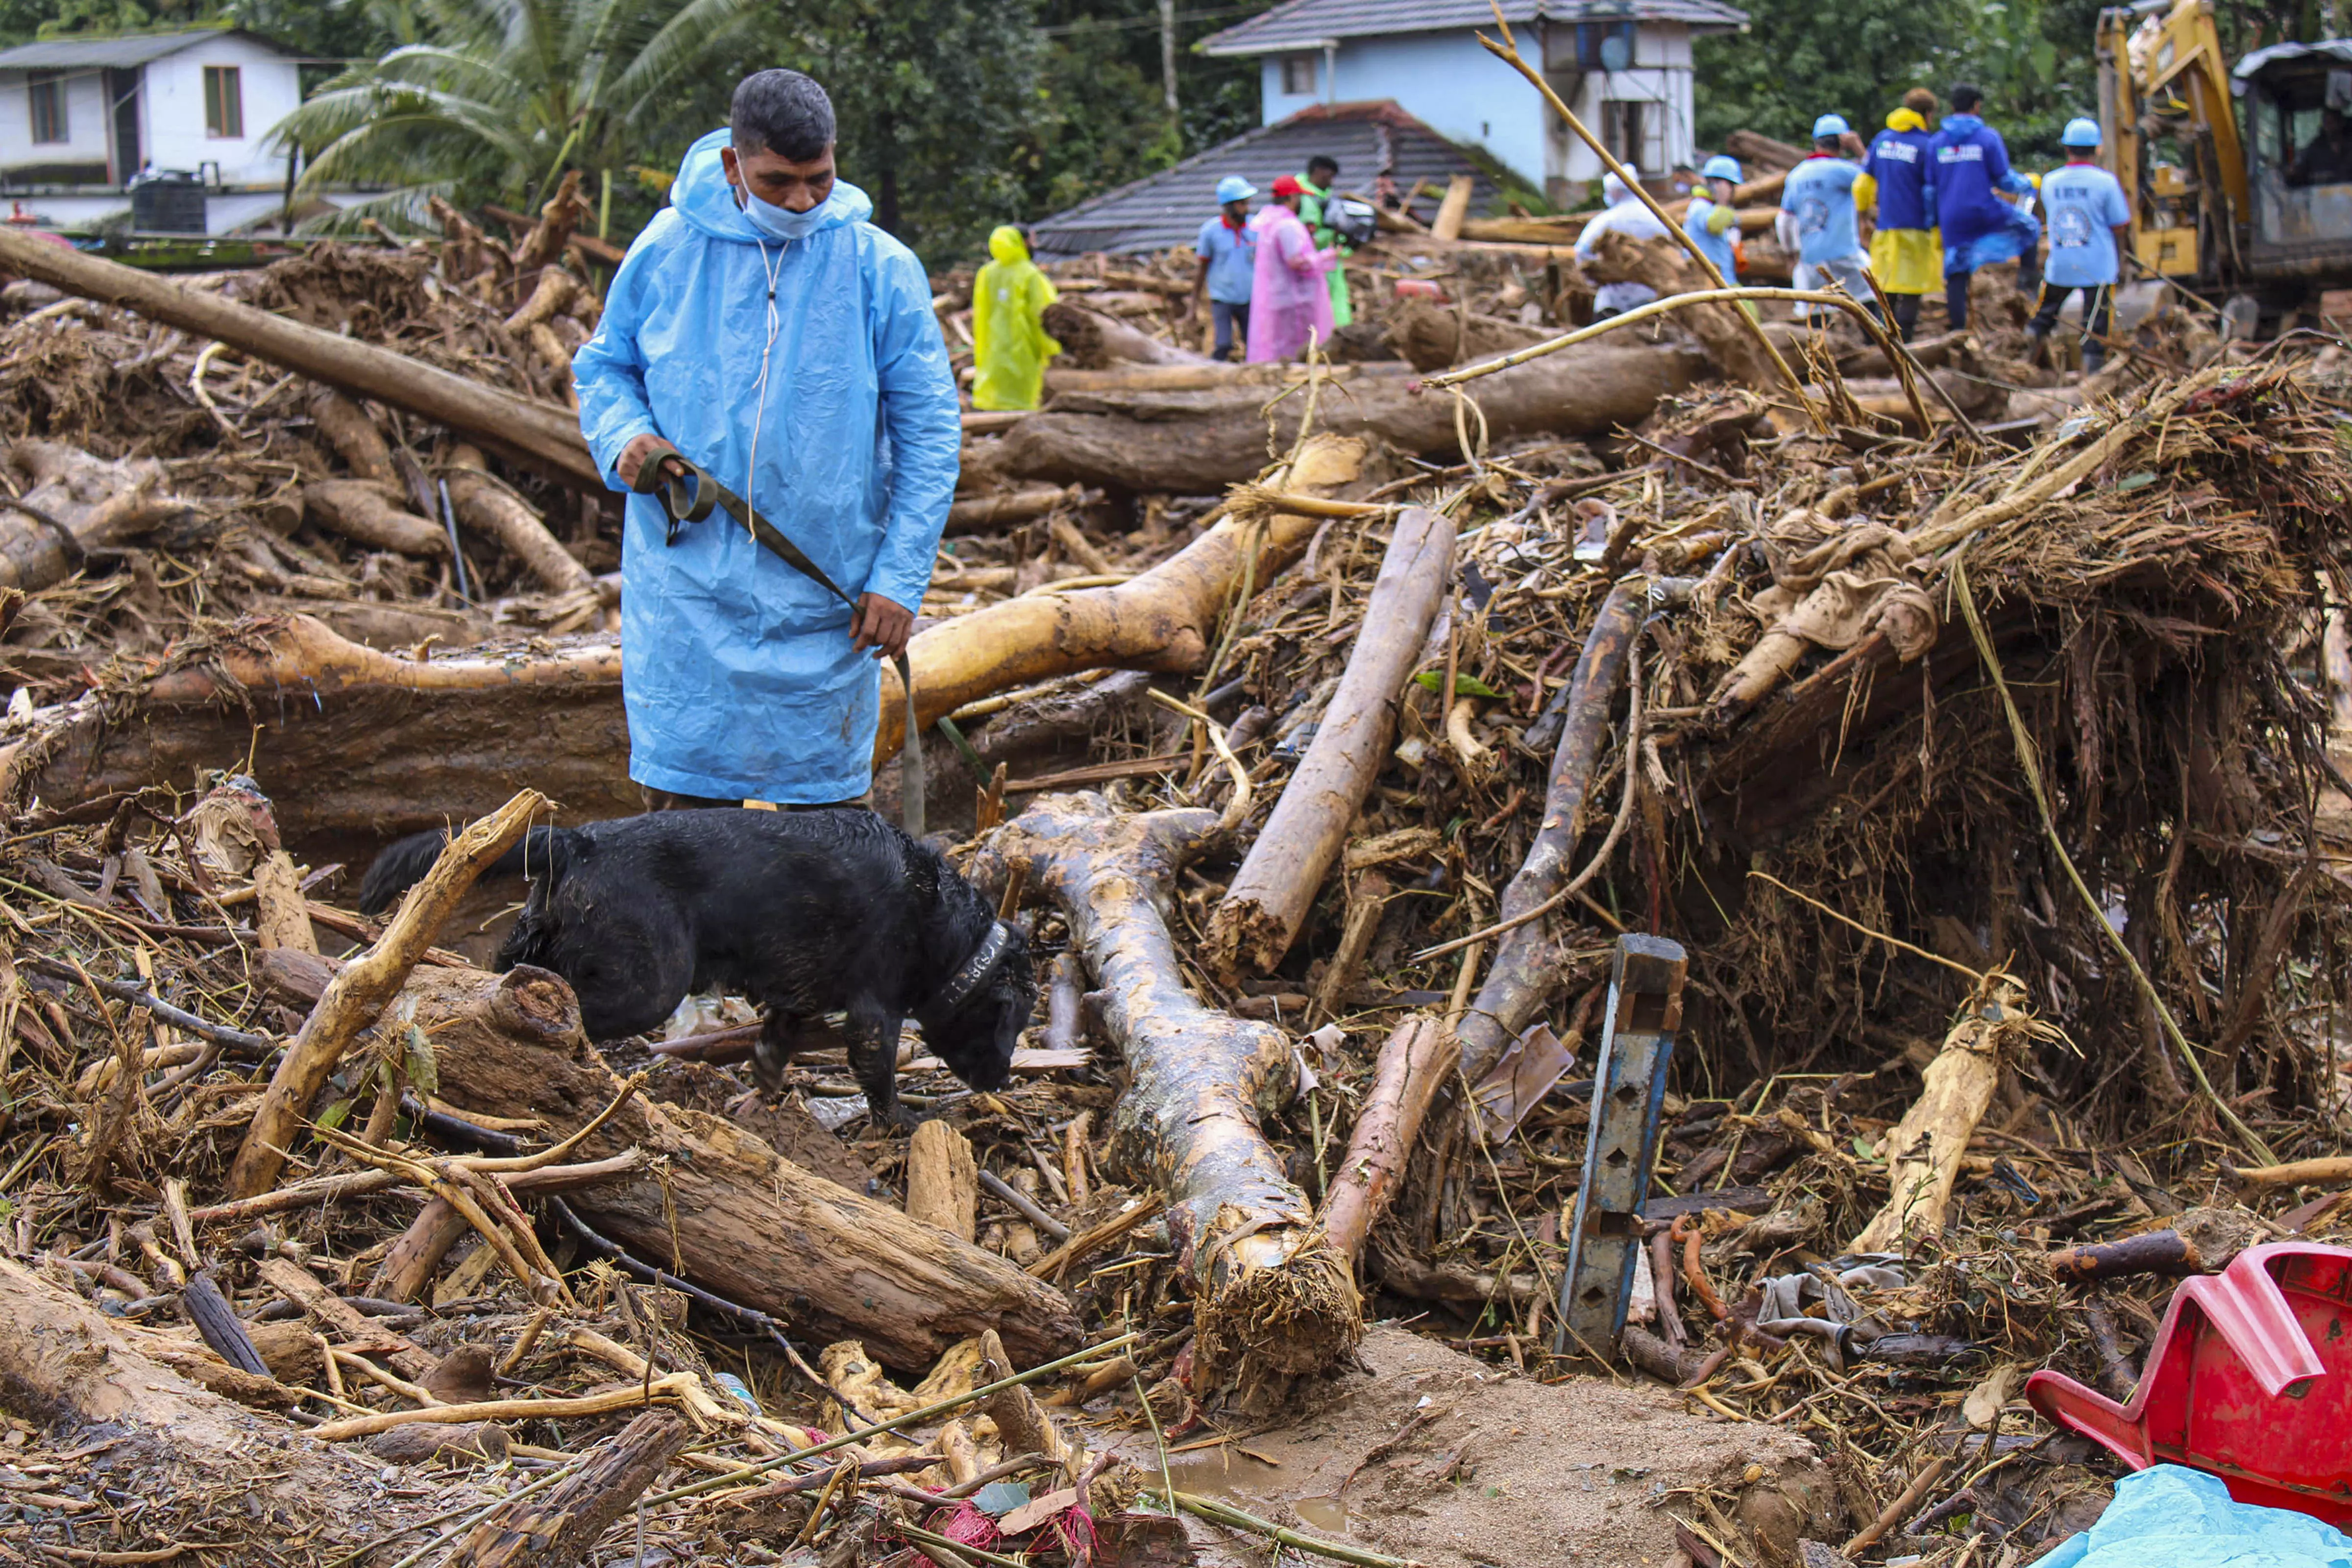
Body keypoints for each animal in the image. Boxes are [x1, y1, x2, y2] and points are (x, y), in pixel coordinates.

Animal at [360, 808, 1030, 1128]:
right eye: (1012, 1024)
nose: (1002, 1080)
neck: (945, 925)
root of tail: (578, 841)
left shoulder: (799, 993)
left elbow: (774, 1044)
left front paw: (762, 1093)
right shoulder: (875, 1012)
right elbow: (881, 1079)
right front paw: (906, 1123)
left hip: (543, 934)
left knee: (507, 969)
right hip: (650, 983)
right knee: (565, 1005)